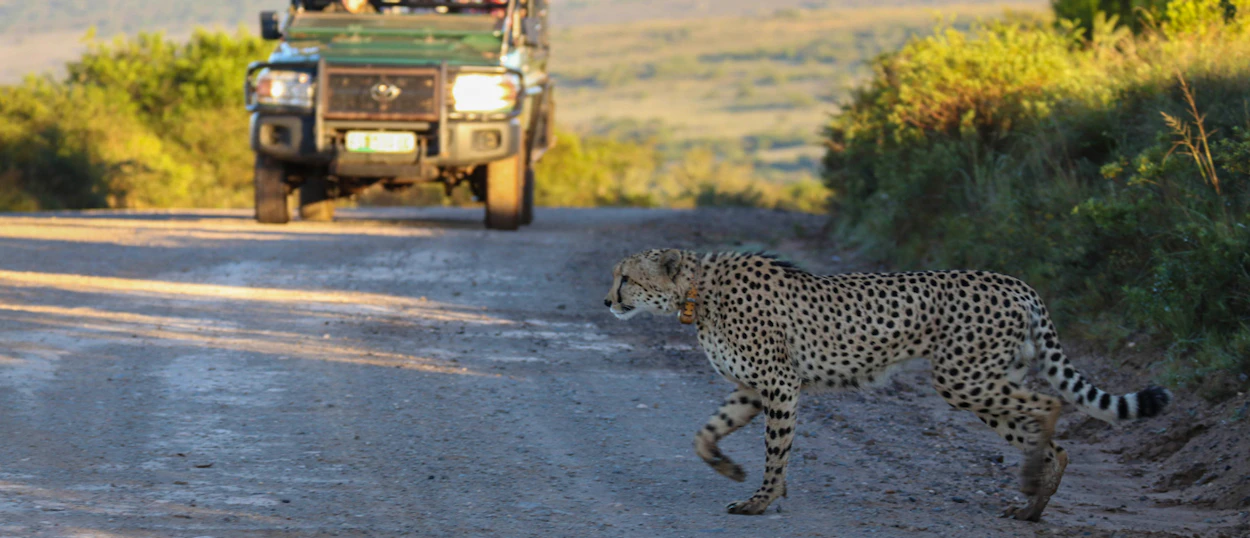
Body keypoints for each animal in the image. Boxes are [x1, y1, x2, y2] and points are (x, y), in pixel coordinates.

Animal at [603, 248, 1171, 520]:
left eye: (626, 277)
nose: (607, 301)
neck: (698, 290)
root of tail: (1015, 282)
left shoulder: (780, 383)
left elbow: (777, 449)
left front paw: (762, 500)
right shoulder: (753, 387)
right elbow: (705, 433)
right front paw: (730, 469)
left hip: (963, 378)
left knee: (1049, 403)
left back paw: (1031, 485)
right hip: (983, 381)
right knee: (1053, 440)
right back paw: (1032, 506)